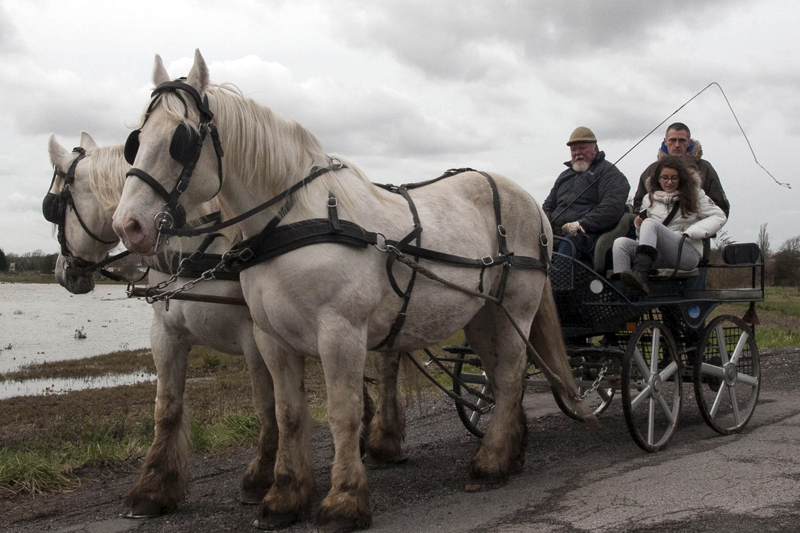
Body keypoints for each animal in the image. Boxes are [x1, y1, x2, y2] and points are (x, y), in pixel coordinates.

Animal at [112, 48, 588, 528]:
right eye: (136, 140)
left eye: (181, 140)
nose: (127, 226)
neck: (292, 221)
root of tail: (530, 202)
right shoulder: (269, 338)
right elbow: (286, 413)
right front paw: (285, 496)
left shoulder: (340, 333)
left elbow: (342, 414)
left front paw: (343, 500)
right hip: (482, 314)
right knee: (501, 373)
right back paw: (511, 451)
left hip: (517, 308)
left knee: (509, 375)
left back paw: (490, 463)